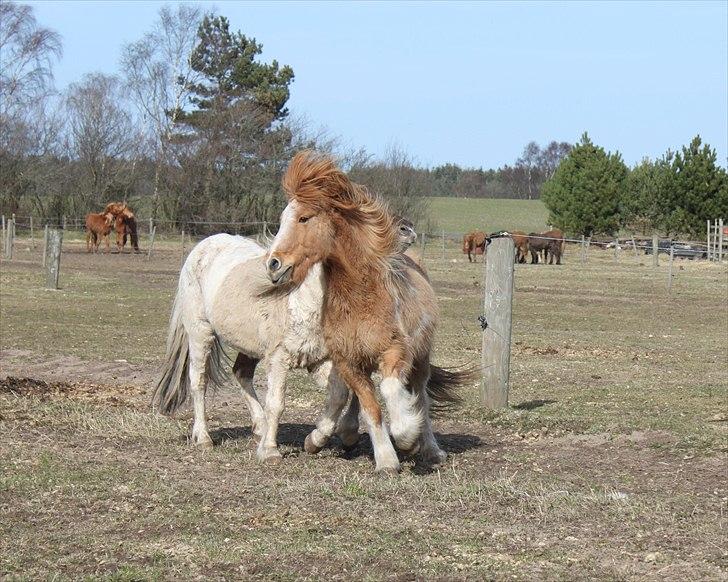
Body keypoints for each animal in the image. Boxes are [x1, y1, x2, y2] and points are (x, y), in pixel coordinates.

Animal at [268, 152, 466, 474]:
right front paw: (386, 459)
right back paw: (342, 434)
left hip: (421, 359)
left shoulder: (395, 352)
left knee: (420, 397)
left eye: (303, 218)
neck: (361, 298)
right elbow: (370, 405)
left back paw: (431, 449)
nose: (273, 264)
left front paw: (406, 439)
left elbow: (391, 392)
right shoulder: (348, 361)